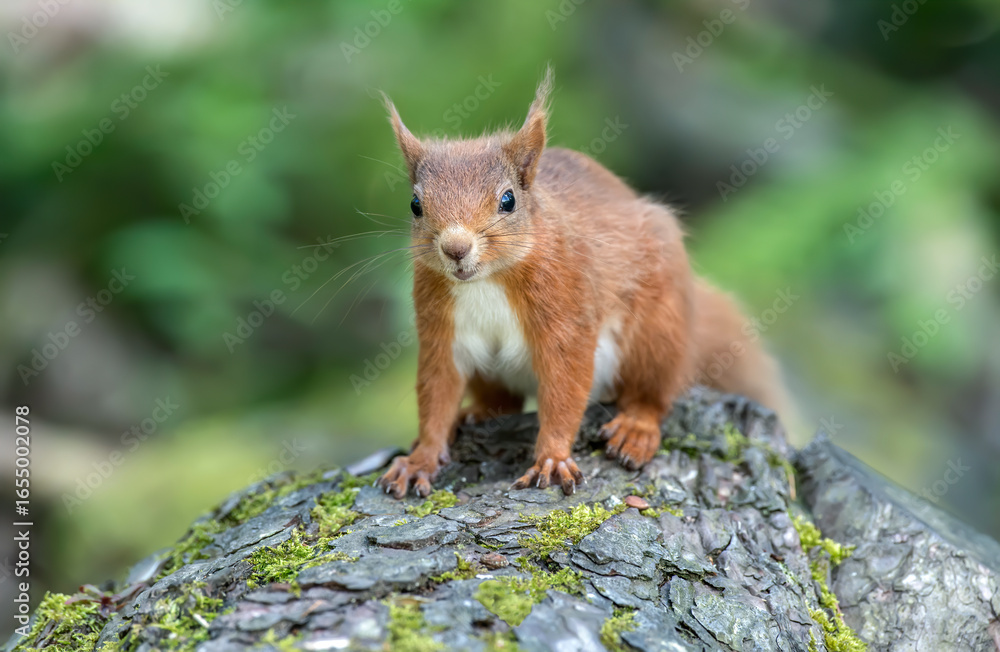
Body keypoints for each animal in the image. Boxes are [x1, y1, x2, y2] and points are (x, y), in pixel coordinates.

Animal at [377, 70, 792, 498]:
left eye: (508, 200)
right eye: (415, 205)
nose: (455, 248)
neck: (486, 282)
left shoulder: (567, 310)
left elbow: (565, 387)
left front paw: (553, 458)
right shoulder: (440, 331)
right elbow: (436, 394)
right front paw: (420, 459)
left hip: (656, 330)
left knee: (654, 394)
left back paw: (636, 428)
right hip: (489, 371)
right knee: (503, 402)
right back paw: (473, 414)